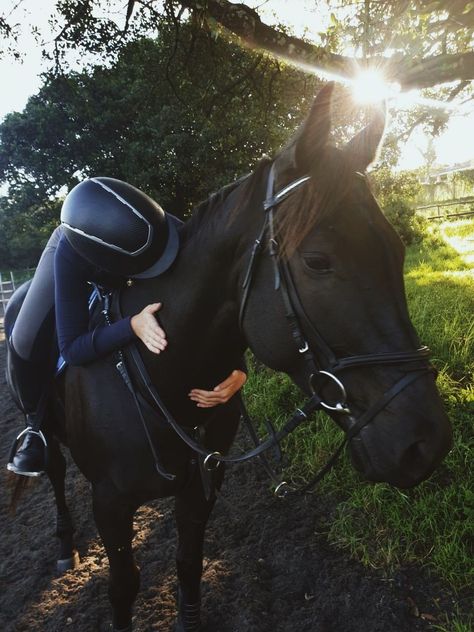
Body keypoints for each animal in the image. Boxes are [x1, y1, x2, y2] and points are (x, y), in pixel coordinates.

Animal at [6, 85, 452, 632]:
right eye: (317, 261)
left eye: (395, 250)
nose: (426, 443)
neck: (158, 376)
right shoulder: (109, 504)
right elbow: (122, 588)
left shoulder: (202, 485)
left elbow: (188, 562)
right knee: (52, 472)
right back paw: (64, 543)